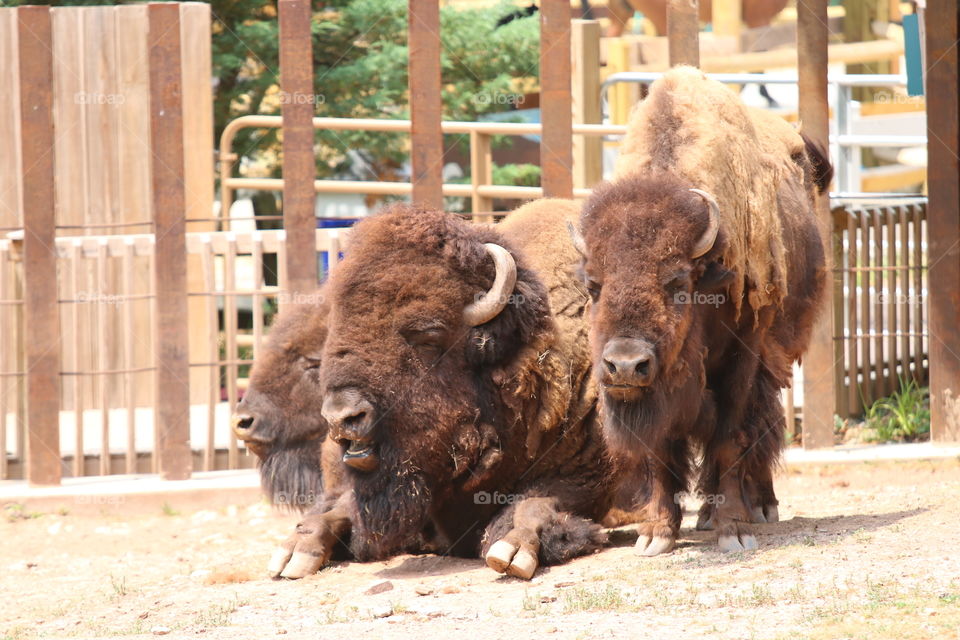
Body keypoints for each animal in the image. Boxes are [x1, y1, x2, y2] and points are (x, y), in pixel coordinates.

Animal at [244, 200, 632, 580]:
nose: (342, 416)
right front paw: (295, 552)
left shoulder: (585, 479)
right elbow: (337, 510)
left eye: (429, 337)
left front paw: (512, 550)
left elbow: (533, 504)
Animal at [568, 66, 832, 556]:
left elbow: (730, 438)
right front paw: (656, 534)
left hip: (776, 355)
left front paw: (734, 531)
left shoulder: (742, 360)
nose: (625, 365)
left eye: (678, 284)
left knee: (761, 425)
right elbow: (660, 450)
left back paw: (754, 507)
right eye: (593, 285)